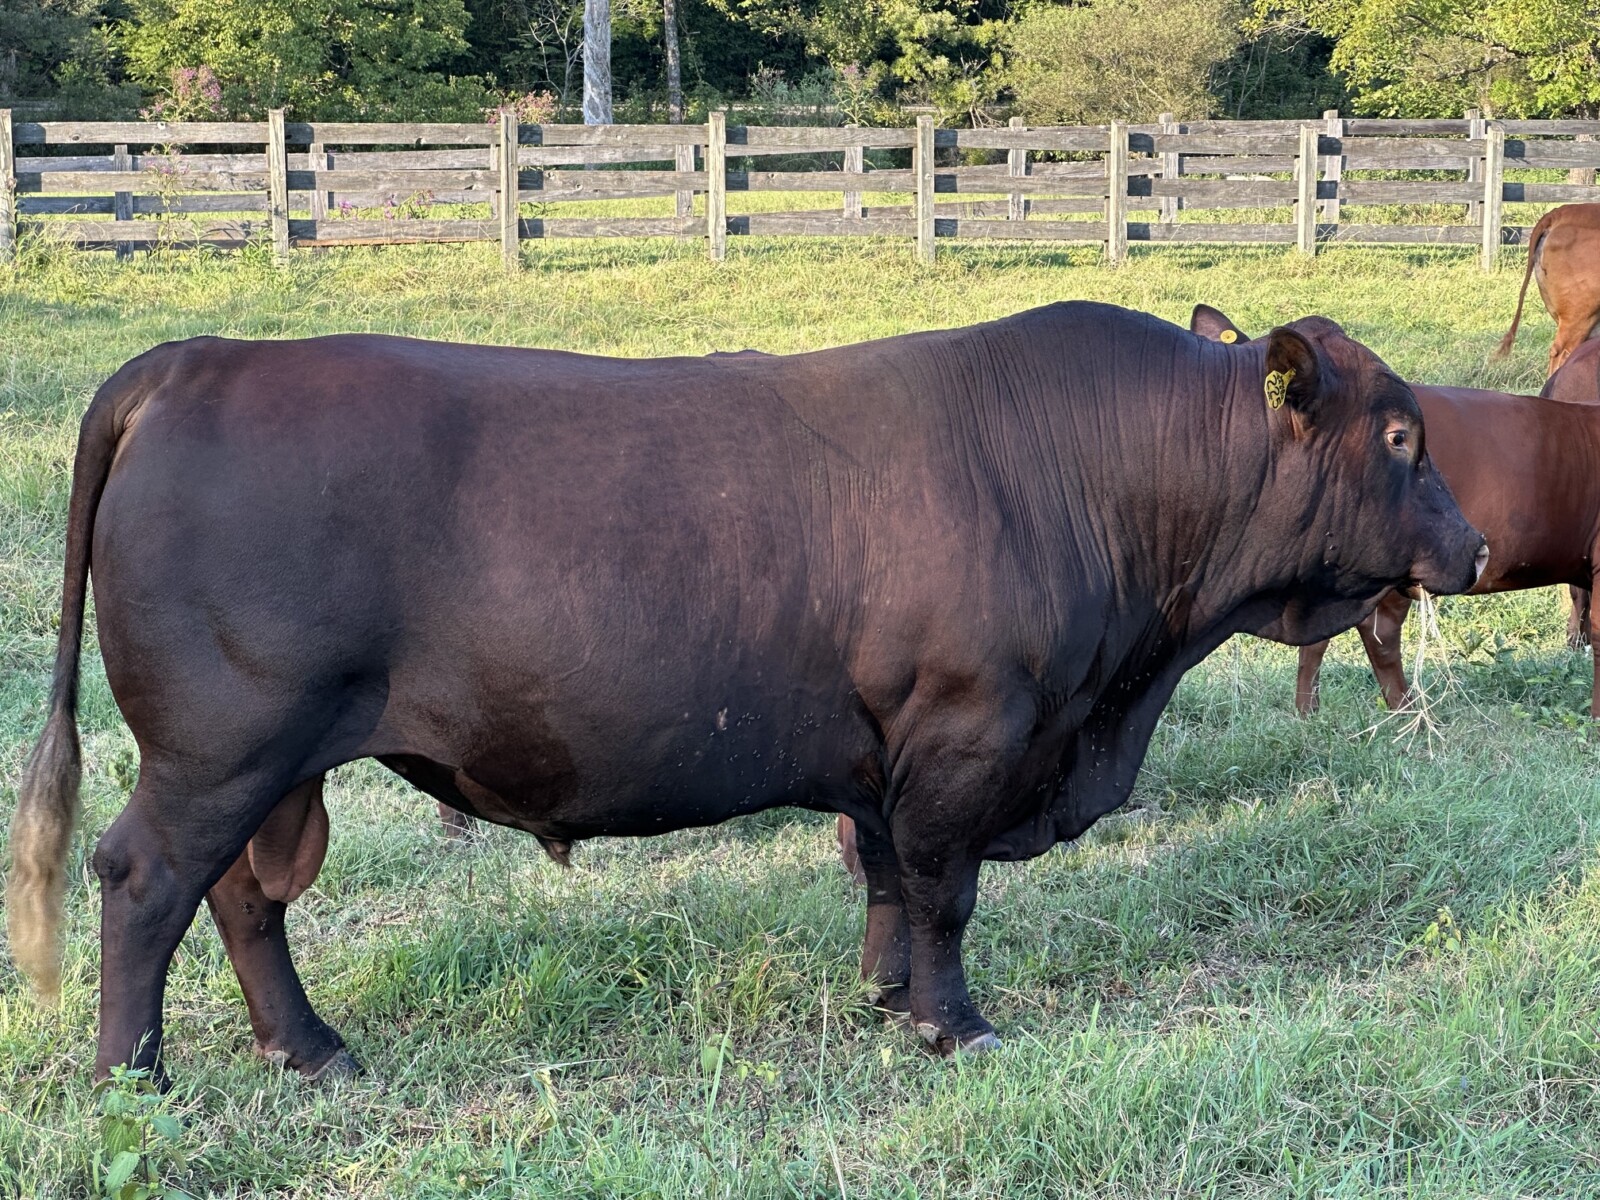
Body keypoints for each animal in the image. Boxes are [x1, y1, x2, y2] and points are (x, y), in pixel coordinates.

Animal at [6, 302, 1485, 1086]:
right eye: (1400, 435)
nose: (1472, 548)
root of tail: (198, 356)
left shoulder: (887, 749)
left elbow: (885, 875)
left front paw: (888, 998)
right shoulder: (969, 730)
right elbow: (944, 889)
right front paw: (956, 1023)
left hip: (278, 757)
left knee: (249, 896)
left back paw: (311, 1049)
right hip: (223, 742)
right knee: (149, 881)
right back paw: (134, 1069)